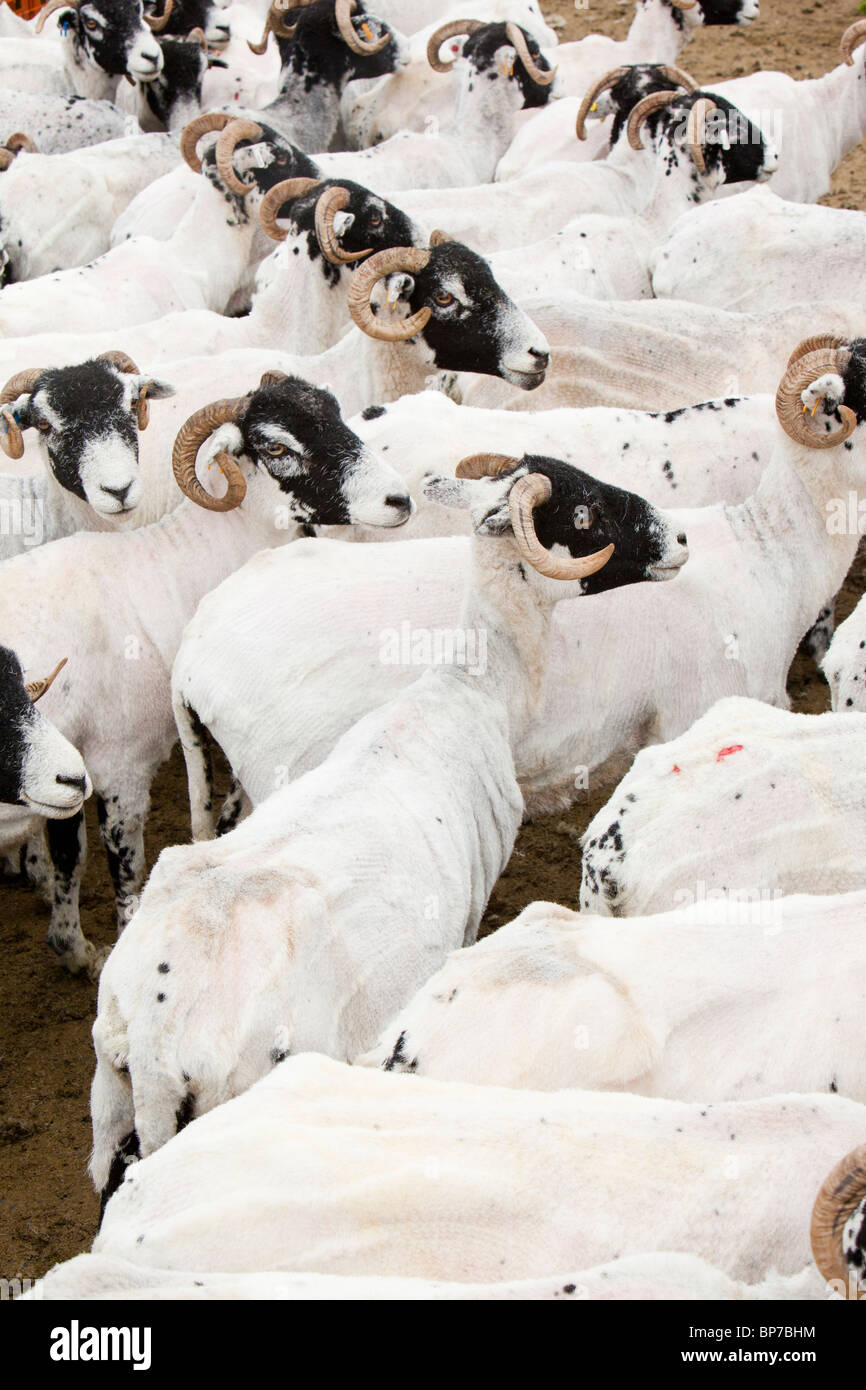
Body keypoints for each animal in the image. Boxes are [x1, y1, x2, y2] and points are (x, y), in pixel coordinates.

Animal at [95, 452, 686, 1183]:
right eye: (587, 513)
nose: (681, 539)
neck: (471, 689)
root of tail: (155, 1038)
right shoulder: (467, 913)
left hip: (110, 1102)